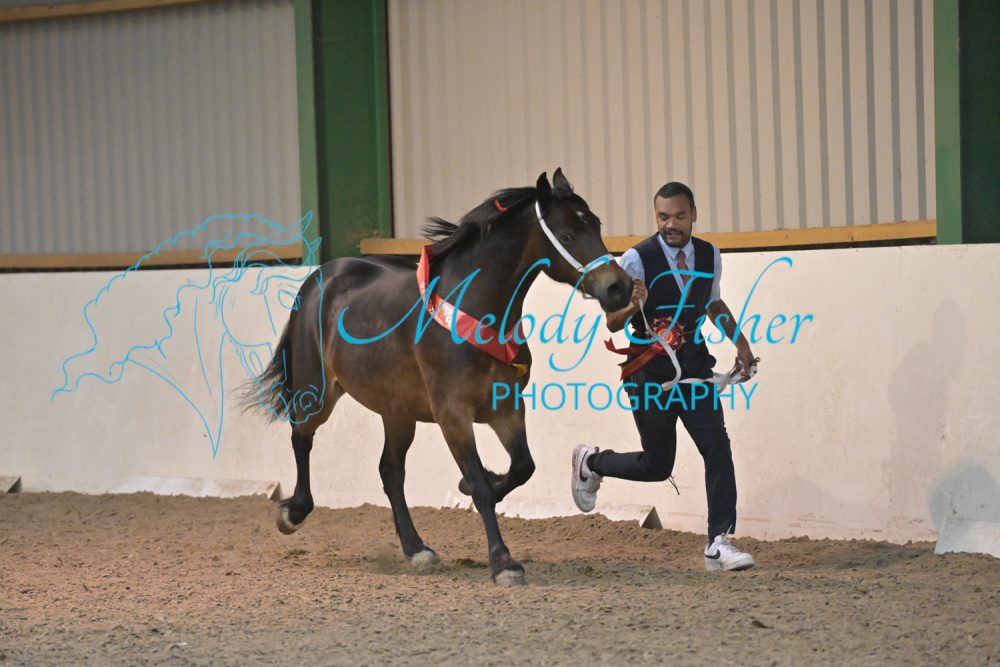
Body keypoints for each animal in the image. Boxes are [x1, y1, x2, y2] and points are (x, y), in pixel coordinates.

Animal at [242, 169, 633, 585]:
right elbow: (480, 486)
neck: (474, 309)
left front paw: (488, 485)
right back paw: (293, 513)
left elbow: (521, 468)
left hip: (397, 411)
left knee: (390, 471)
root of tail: (321, 276)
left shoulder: (506, 408)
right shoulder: (453, 415)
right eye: (568, 234)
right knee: (302, 438)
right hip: (317, 391)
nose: (619, 288)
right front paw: (503, 562)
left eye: (596, 224)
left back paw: (417, 549)